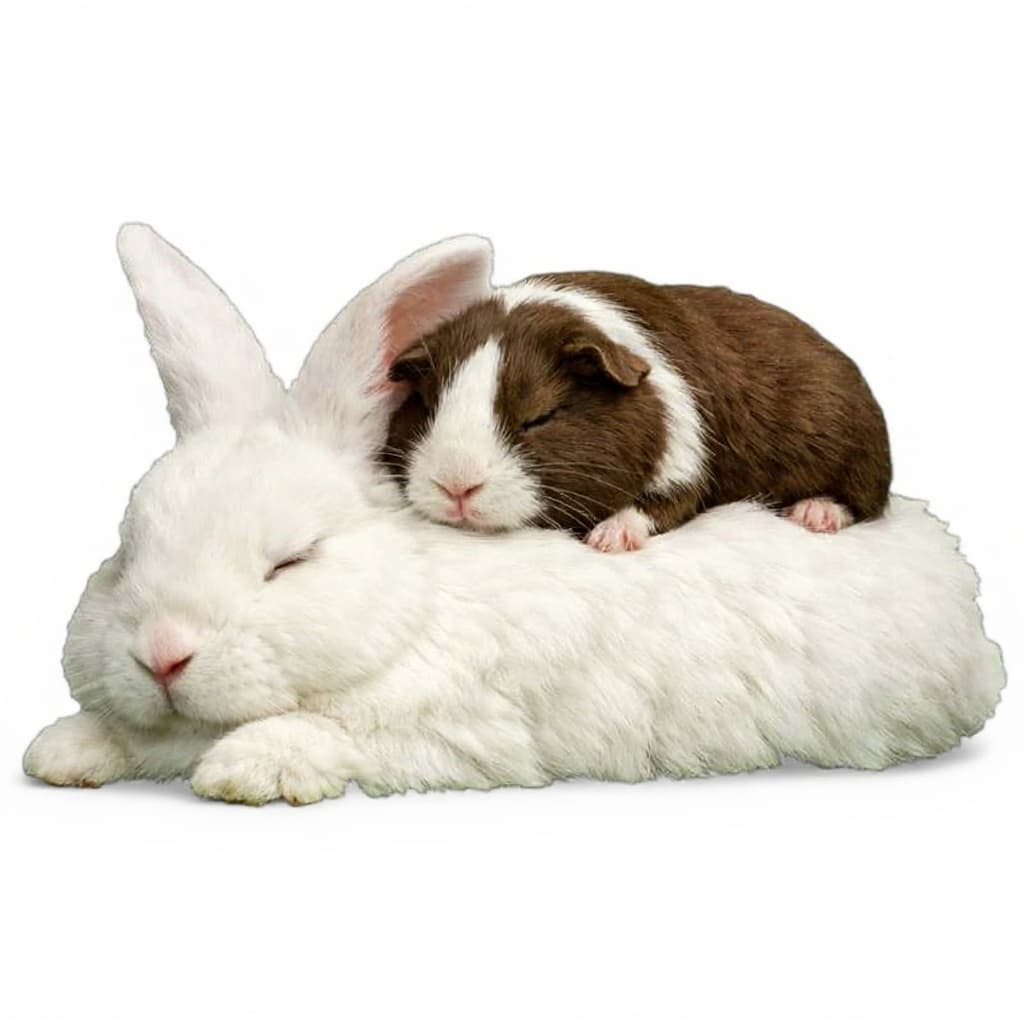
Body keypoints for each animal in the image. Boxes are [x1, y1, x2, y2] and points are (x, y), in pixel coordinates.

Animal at [379, 238, 891, 552]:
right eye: (427, 407)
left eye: (539, 417)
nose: (456, 487)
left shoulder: (686, 462)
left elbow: (661, 505)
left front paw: (606, 541)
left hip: (859, 462)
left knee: (863, 504)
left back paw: (813, 515)